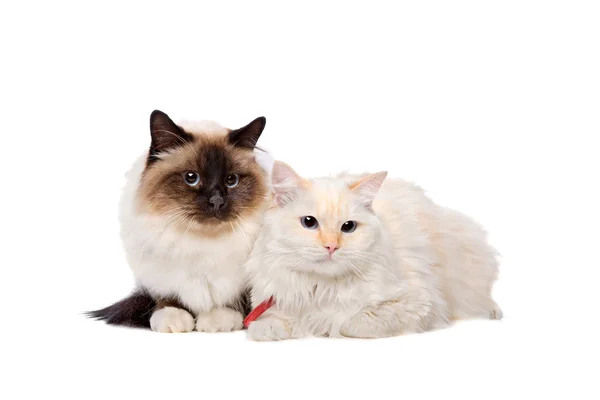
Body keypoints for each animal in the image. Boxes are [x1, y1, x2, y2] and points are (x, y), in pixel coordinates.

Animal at [87, 109, 272, 332]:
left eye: (231, 180)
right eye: (191, 178)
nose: (217, 201)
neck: (201, 243)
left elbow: (239, 302)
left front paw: (217, 319)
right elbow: (167, 299)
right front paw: (173, 318)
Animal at [244, 162, 502, 340]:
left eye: (348, 227)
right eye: (309, 222)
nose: (331, 246)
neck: (320, 287)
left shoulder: (419, 304)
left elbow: (348, 322)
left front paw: (328, 326)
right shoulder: (277, 299)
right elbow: (266, 325)